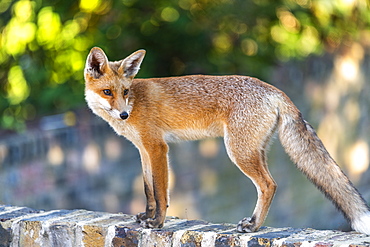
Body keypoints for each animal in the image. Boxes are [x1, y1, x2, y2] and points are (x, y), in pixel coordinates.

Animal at [84, 47, 370, 234]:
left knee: (269, 185)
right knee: (270, 184)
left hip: (238, 152)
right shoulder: (143, 149)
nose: (123, 114)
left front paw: (157, 223)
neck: (136, 101)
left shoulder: (158, 147)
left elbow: (161, 191)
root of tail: (274, 90)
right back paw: (255, 223)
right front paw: (146, 216)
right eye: (107, 92)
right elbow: (148, 190)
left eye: (125, 92)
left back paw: (254, 226)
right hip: (254, 150)